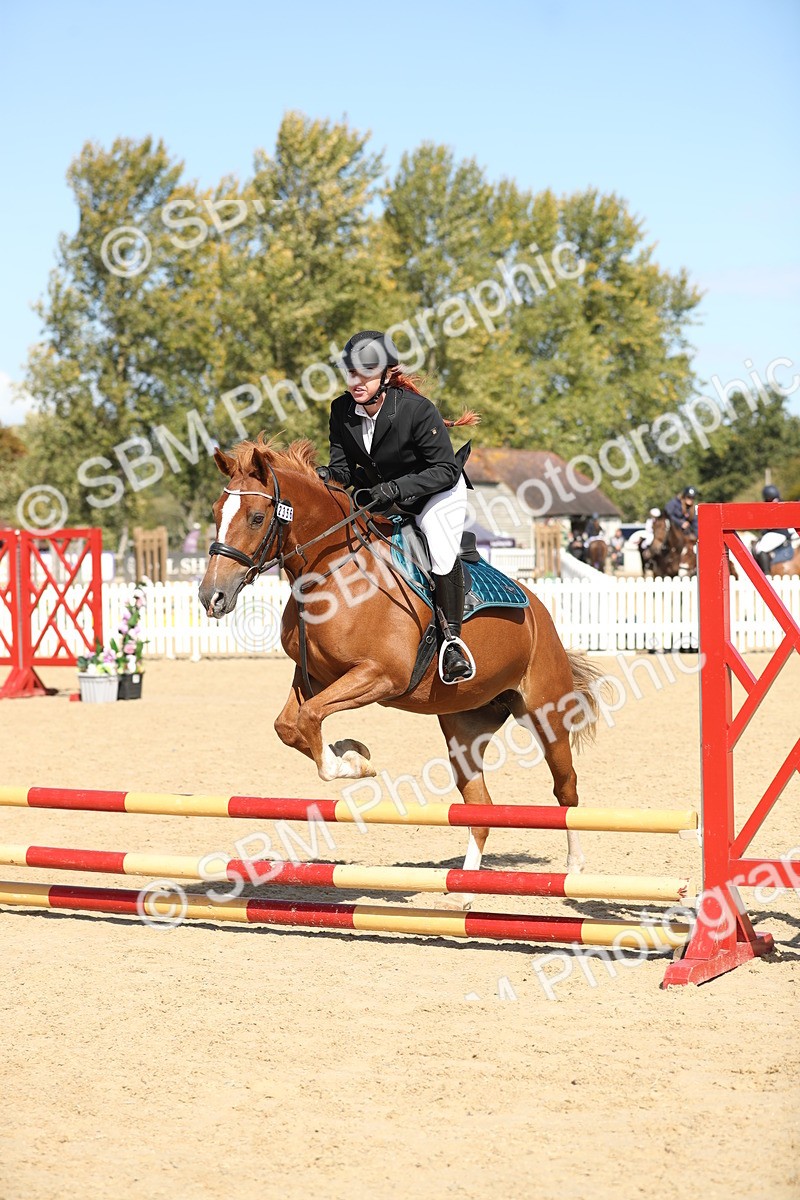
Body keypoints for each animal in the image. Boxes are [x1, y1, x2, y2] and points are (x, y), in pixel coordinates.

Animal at [198, 436, 603, 889]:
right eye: (216, 512)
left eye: (256, 517)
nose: (212, 596)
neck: (332, 575)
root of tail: (537, 611)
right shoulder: (315, 674)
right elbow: (291, 724)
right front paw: (351, 752)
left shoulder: (380, 676)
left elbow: (310, 719)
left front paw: (350, 762)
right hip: (465, 725)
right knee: (479, 807)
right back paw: (463, 891)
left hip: (546, 713)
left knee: (565, 789)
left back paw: (574, 868)